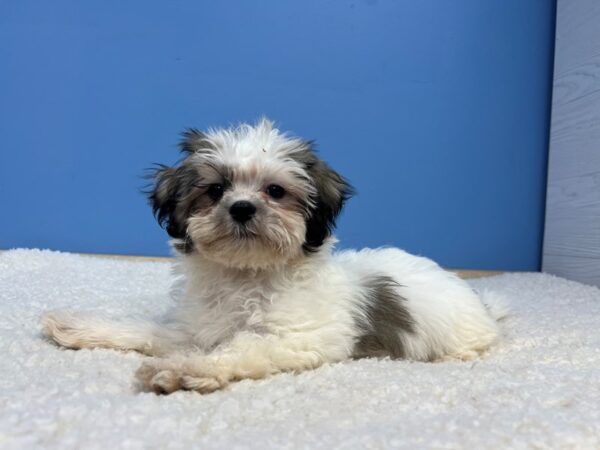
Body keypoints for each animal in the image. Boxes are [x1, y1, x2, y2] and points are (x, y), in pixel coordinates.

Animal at [41, 118, 506, 394]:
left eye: (276, 191)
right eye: (215, 191)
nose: (242, 208)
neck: (245, 276)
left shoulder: (298, 336)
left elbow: (244, 347)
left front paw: (186, 370)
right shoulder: (198, 327)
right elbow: (149, 331)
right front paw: (83, 326)